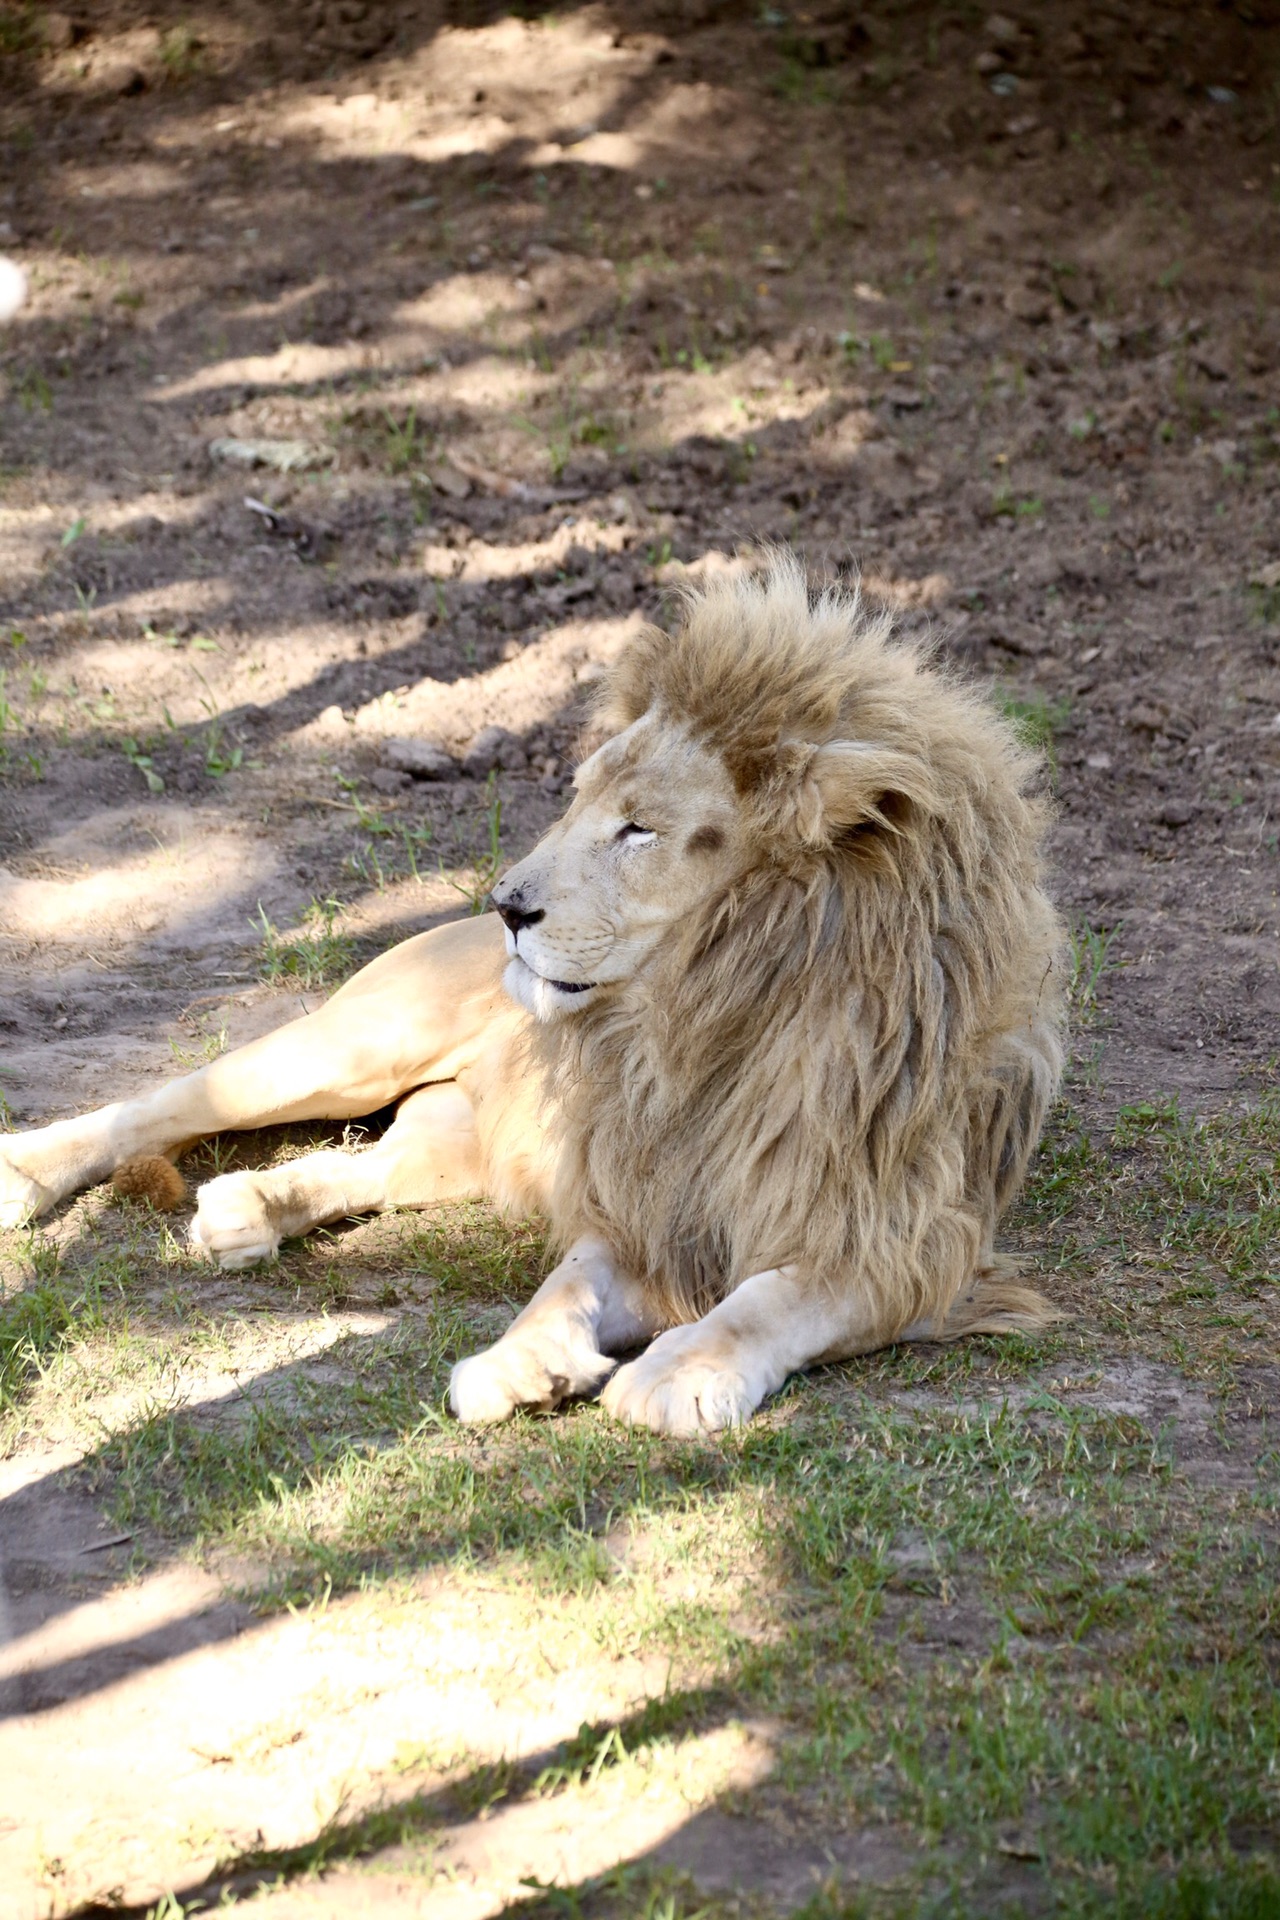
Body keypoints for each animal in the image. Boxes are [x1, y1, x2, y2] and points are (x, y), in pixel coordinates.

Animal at [0, 556, 1066, 1428]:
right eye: (579, 798)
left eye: (639, 827)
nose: (506, 903)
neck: (704, 1020)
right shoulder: (634, 1202)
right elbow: (564, 1284)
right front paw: (521, 1361)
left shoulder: (905, 1241)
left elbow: (768, 1298)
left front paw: (675, 1372)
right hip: (355, 1046)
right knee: (159, 1106)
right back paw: (25, 1172)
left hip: (461, 1147)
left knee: (375, 1163)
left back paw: (249, 1208)